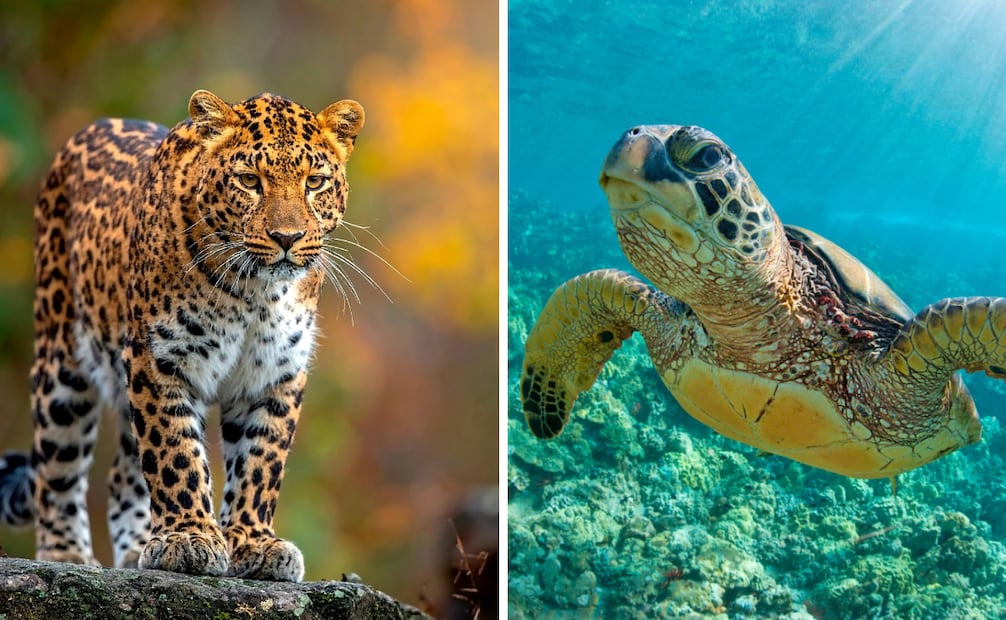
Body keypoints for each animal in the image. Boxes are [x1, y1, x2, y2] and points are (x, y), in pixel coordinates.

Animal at [0, 89, 364, 582]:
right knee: (56, 466)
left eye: (315, 182)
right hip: (63, 362)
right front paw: (189, 537)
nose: (287, 237)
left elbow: (261, 461)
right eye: (249, 180)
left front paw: (253, 542)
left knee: (122, 475)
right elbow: (174, 452)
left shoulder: (275, 372)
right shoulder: (158, 358)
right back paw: (65, 554)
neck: (256, 291)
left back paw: (138, 548)